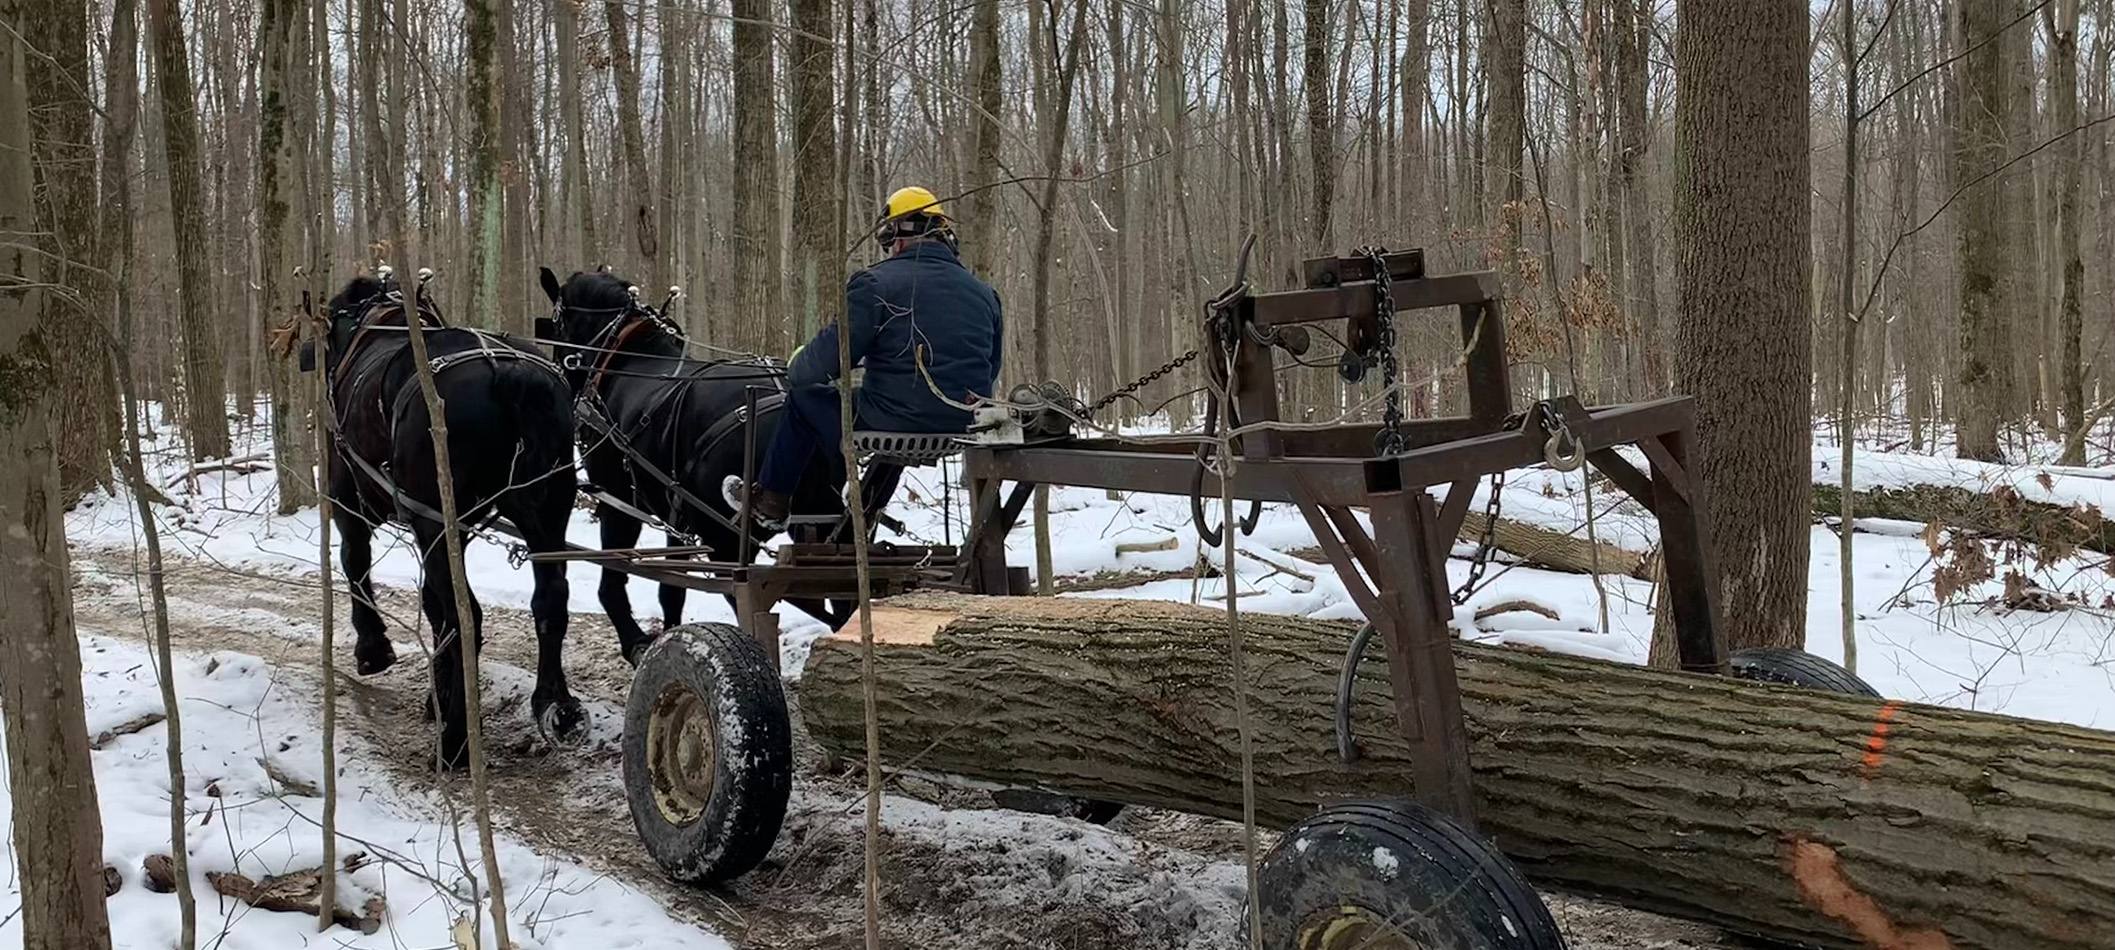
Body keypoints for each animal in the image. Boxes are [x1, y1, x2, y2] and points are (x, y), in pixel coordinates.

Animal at [299, 274, 584, 769]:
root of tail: (506, 374)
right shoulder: (452, 533)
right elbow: (432, 606)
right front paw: (438, 695)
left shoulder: (352, 504)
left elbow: (356, 564)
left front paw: (374, 649)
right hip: (546, 515)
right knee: (549, 602)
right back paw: (554, 705)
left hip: (437, 521)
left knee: (464, 616)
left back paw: (456, 742)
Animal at [536, 266, 844, 660]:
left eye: (557, 324)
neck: (626, 360)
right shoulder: (675, 510)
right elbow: (672, 590)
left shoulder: (618, 502)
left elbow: (615, 581)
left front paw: (637, 641)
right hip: (823, 517)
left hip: (726, 537)